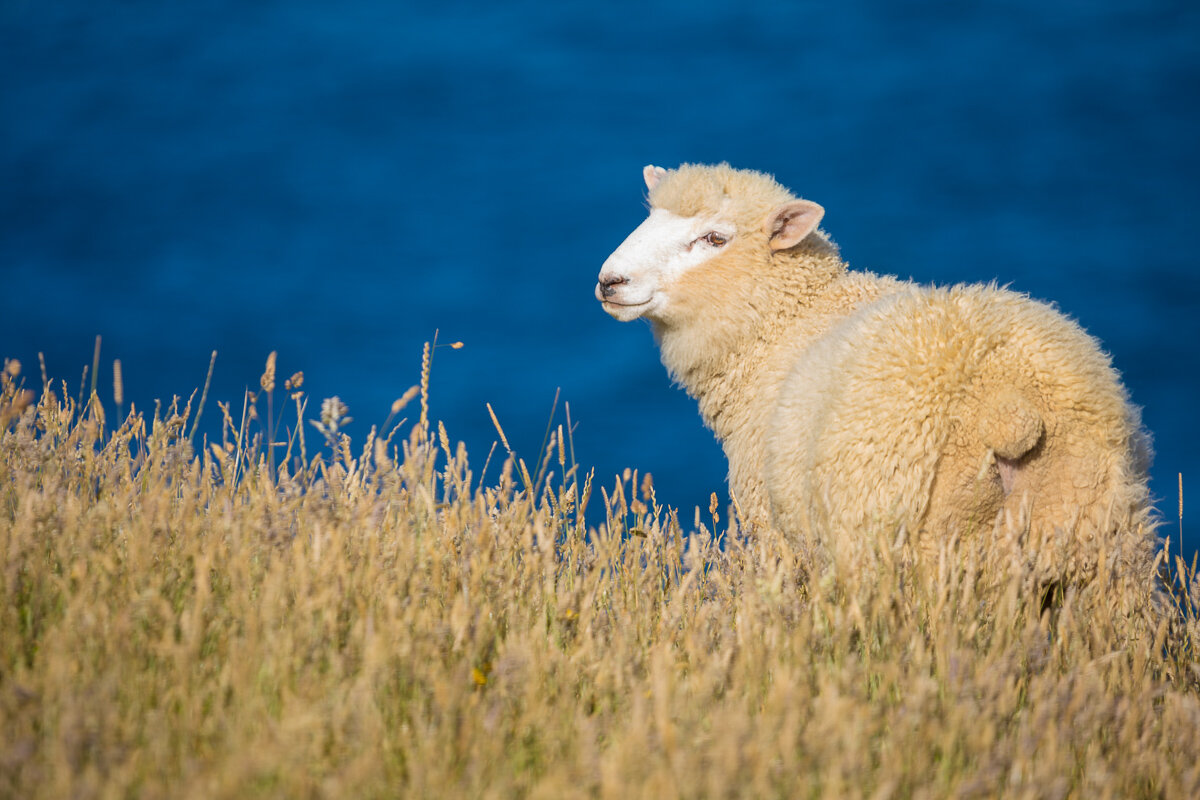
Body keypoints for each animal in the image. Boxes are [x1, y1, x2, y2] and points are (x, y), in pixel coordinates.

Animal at [600, 160, 1161, 587]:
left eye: (714, 238)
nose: (611, 281)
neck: (786, 324)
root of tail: (1008, 405)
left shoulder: (775, 534)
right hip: (1097, 534)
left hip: (909, 539)